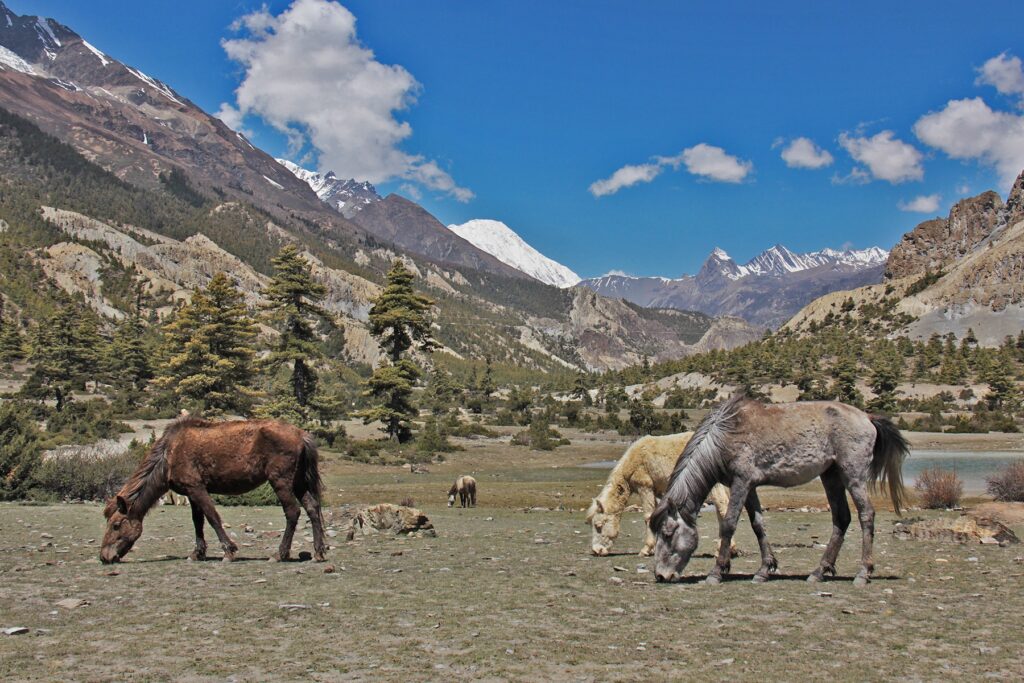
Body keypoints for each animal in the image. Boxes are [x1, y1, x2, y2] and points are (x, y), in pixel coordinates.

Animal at [98, 417, 325, 565]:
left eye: (116, 525)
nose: (104, 557)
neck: (168, 456)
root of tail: (302, 435)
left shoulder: (197, 488)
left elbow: (212, 517)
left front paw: (229, 552)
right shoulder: (191, 492)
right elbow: (197, 522)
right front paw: (197, 553)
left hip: (281, 482)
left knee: (293, 512)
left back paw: (280, 554)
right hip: (298, 483)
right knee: (312, 508)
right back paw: (318, 552)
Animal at [585, 436, 737, 557]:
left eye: (598, 525)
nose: (596, 551)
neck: (632, 461)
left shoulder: (645, 487)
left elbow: (648, 516)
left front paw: (646, 549)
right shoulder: (658, 491)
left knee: (723, 510)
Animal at [651, 395, 909, 589]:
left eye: (667, 533)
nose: (661, 575)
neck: (726, 435)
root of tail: (867, 417)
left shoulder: (741, 482)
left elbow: (729, 524)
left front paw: (716, 572)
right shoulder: (750, 486)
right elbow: (758, 525)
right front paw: (764, 570)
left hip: (852, 475)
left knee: (866, 515)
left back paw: (862, 573)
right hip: (831, 476)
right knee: (841, 519)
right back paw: (819, 571)